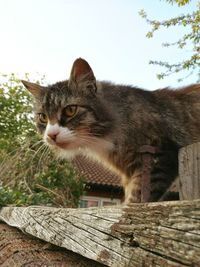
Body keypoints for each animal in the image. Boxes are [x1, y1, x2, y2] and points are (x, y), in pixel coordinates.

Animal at [21, 58, 200, 204]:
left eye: (70, 110)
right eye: (43, 117)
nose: (51, 135)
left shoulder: (160, 155)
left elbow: (136, 199)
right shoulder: (129, 173)